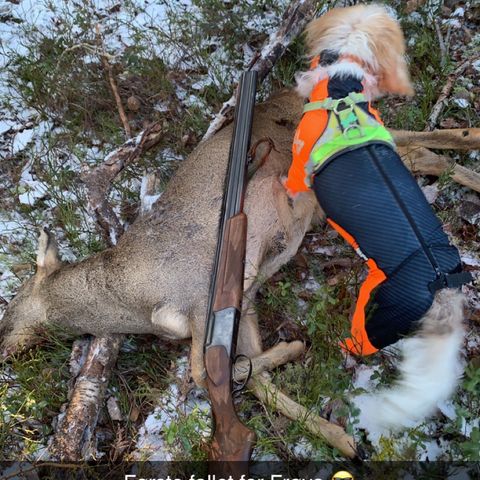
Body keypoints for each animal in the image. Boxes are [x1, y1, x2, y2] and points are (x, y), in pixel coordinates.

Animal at [284, 4, 470, 436]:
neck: (343, 88)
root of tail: (442, 286)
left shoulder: (298, 167)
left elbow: (292, 186)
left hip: (380, 314)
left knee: (362, 342)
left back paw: (343, 349)